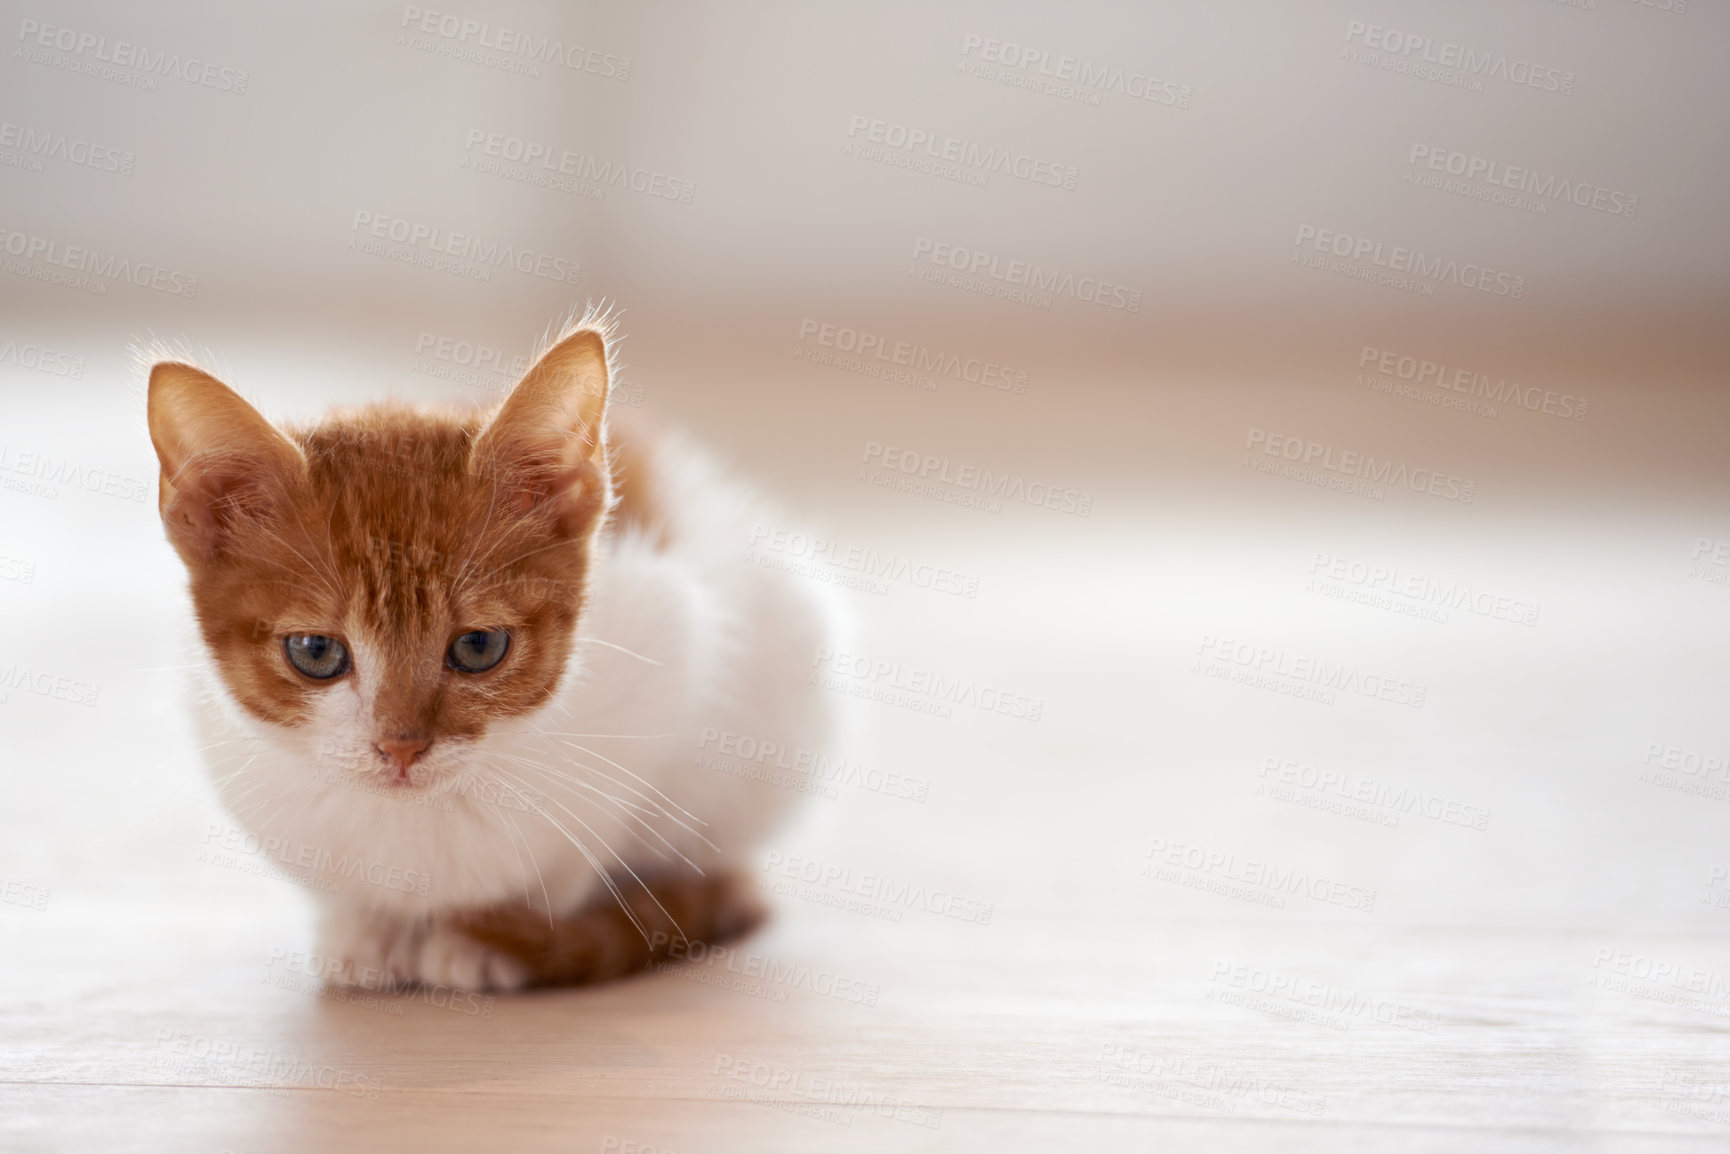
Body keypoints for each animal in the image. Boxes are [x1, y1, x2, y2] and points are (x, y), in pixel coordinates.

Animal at [148, 313, 851, 996]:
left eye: (479, 647)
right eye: (315, 651)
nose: (401, 747)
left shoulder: (668, 645)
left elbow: (580, 849)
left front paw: (483, 936)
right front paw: (364, 930)